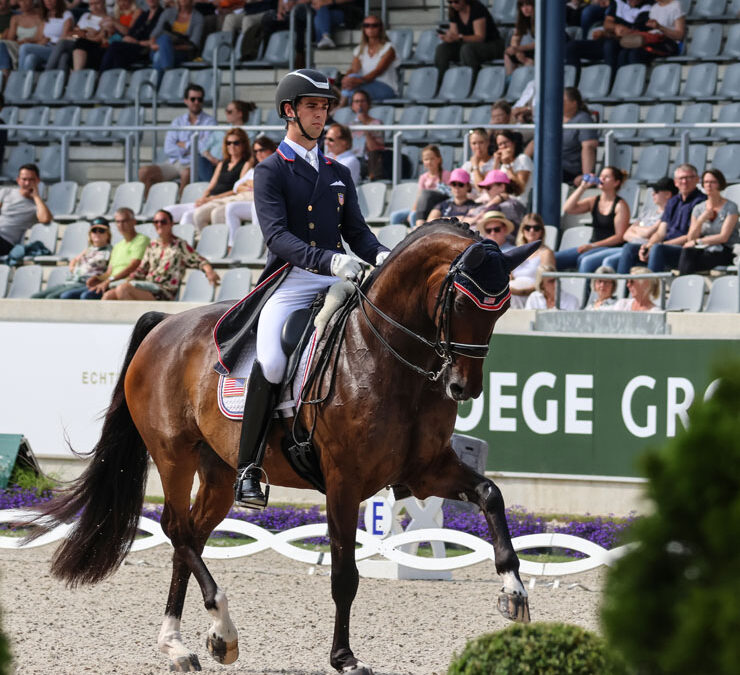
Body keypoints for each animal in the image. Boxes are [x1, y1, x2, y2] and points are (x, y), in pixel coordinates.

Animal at [30, 219, 532, 672]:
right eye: (460, 301)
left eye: (502, 308)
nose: (463, 388)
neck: (386, 354)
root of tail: (166, 322)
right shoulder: (344, 482)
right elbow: (344, 574)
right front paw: (344, 658)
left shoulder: (425, 470)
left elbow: (491, 494)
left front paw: (514, 593)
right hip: (173, 454)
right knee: (176, 527)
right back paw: (220, 629)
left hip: (219, 471)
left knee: (190, 534)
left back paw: (182, 644)